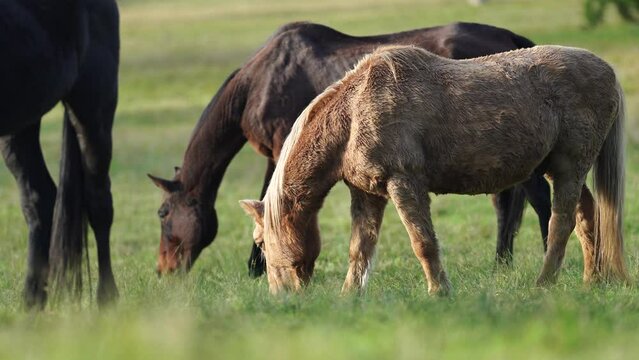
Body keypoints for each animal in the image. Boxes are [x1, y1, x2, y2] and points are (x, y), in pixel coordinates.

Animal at [0, 0, 120, 310]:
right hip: (21, 124)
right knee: (39, 199)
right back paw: (31, 304)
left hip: (93, 111)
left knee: (99, 203)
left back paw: (107, 299)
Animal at [148, 21, 552, 278]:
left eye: (163, 213)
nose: (163, 271)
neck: (259, 81)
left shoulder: (280, 149)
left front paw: (257, 266)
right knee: (507, 203)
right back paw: (502, 264)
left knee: (537, 197)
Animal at [241, 45, 632, 294]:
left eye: (261, 242)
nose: (283, 297)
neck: (354, 112)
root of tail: (608, 72)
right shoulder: (367, 195)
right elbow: (360, 250)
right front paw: (349, 296)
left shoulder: (404, 183)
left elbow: (422, 242)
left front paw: (438, 291)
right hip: (559, 169)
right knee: (587, 215)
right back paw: (591, 282)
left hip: (569, 167)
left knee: (561, 224)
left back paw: (544, 284)